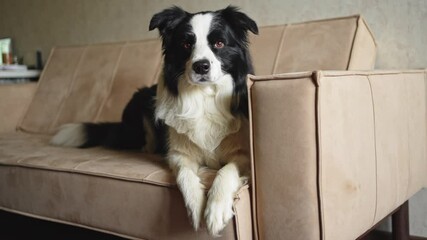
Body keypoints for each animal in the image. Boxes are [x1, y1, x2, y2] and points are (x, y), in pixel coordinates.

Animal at [51, 6, 258, 236]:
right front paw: (196, 207)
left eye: (219, 43)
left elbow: (226, 171)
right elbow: (184, 175)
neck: (203, 96)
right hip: (139, 99)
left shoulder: (243, 155)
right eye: (186, 44)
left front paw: (216, 210)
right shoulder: (178, 153)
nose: (201, 66)